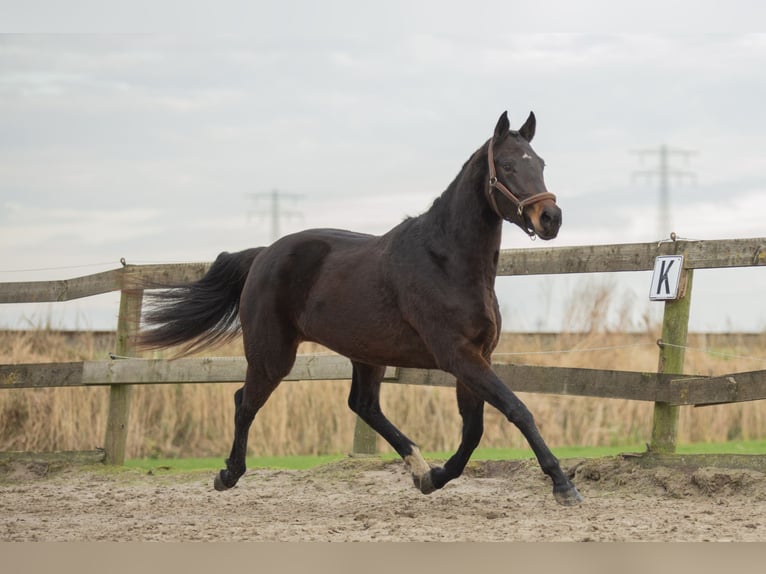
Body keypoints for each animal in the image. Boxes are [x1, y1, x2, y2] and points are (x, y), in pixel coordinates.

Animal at [140, 112, 584, 508]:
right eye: (508, 165)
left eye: (540, 163)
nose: (551, 218)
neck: (447, 260)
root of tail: (263, 254)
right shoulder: (458, 355)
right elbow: (517, 410)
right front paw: (563, 486)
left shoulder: (477, 356)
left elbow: (473, 430)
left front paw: (436, 478)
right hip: (272, 354)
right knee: (244, 401)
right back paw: (228, 474)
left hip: (366, 354)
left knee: (363, 405)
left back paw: (419, 468)